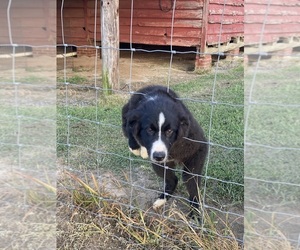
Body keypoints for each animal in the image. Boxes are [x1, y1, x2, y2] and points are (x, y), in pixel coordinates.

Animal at [120, 85, 207, 215]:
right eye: (149, 130)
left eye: (170, 131)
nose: (159, 155)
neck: (157, 100)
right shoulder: (127, 111)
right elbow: (128, 126)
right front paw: (136, 147)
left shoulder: (195, 139)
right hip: (160, 166)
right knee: (173, 179)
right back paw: (162, 199)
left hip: (190, 167)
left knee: (192, 185)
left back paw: (195, 213)